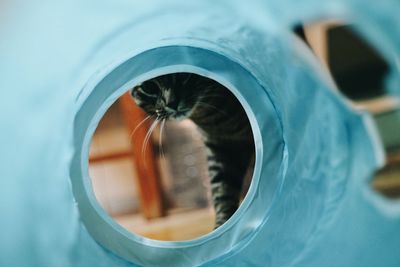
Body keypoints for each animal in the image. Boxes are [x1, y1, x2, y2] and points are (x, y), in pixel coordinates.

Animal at [133, 73, 255, 228]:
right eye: (149, 87)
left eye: (180, 74)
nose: (172, 103)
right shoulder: (221, 148)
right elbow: (222, 190)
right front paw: (221, 226)